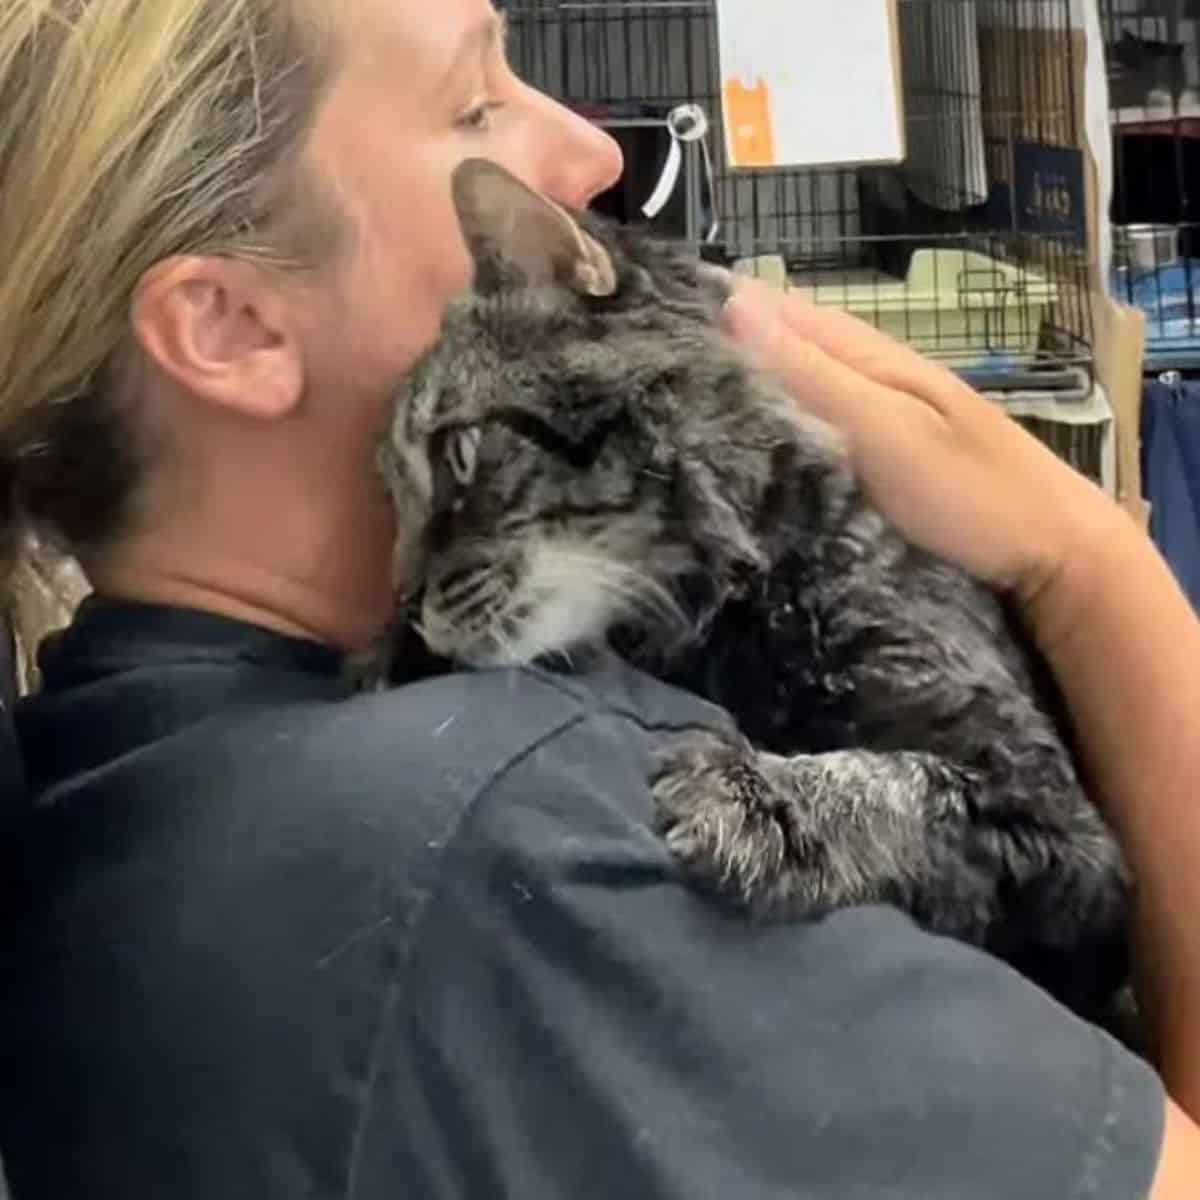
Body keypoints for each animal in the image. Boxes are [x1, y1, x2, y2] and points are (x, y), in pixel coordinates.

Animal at [379, 157, 1128, 1022]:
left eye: (458, 452)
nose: (402, 604)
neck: (734, 612)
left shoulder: (1067, 833)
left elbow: (906, 781)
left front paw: (760, 796)